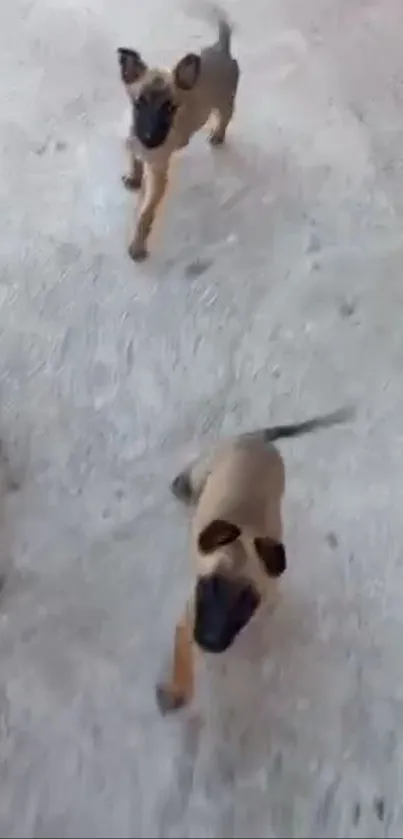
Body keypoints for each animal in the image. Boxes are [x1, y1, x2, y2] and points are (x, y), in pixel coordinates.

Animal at [118, 4, 241, 260]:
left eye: (170, 108)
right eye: (138, 104)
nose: (149, 138)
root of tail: (221, 48)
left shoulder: (157, 177)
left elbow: (145, 214)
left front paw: (138, 244)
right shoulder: (133, 143)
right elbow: (135, 159)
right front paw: (134, 177)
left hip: (224, 101)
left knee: (225, 117)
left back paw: (218, 135)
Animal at [157, 408, 354, 716]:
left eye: (246, 600)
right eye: (209, 584)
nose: (210, 642)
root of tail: (257, 439)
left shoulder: (267, 599)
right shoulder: (189, 616)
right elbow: (183, 656)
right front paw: (179, 690)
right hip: (210, 465)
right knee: (194, 478)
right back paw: (182, 485)